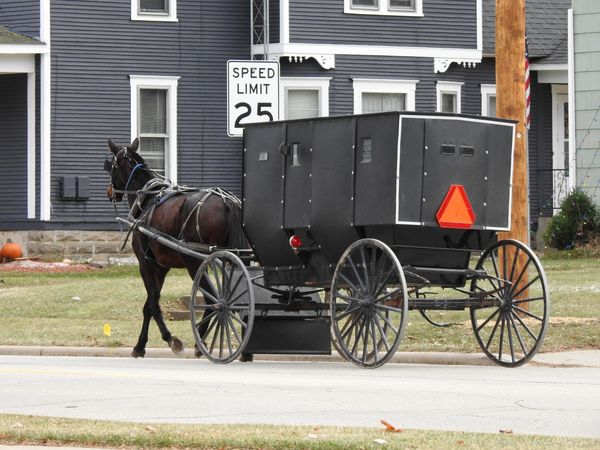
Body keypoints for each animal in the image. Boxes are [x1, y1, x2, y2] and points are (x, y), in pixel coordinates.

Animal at [105, 138, 246, 358]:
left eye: (112, 165)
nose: (110, 191)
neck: (146, 198)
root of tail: (227, 202)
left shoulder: (146, 264)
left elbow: (153, 304)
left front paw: (171, 340)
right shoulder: (161, 267)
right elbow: (149, 305)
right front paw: (140, 345)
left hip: (195, 262)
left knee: (213, 298)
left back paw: (201, 342)